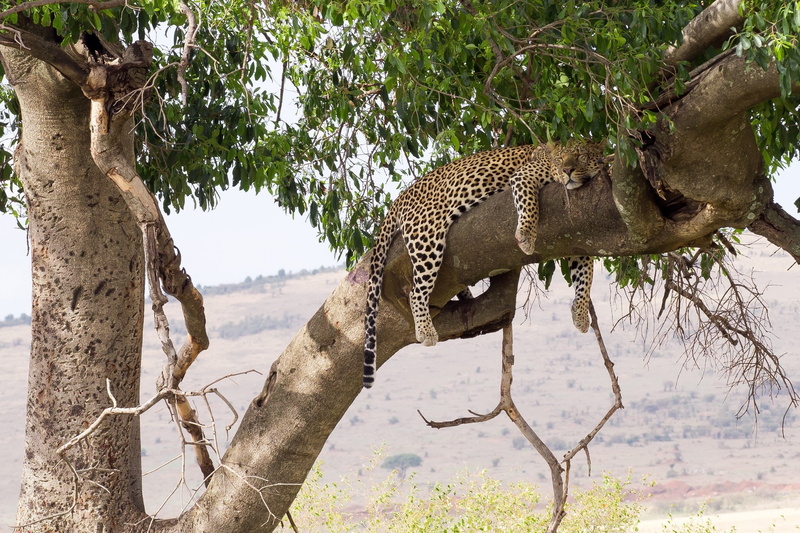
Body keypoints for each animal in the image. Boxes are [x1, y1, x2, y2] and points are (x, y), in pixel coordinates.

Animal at [363, 139, 607, 388]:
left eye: (581, 156)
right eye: (559, 160)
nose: (567, 170)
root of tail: (402, 196)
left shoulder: (576, 237)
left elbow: (585, 277)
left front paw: (580, 315)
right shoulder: (524, 176)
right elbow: (529, 203)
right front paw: (526, 236)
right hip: (426, 235)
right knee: (416, 291)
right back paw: (425, 330)